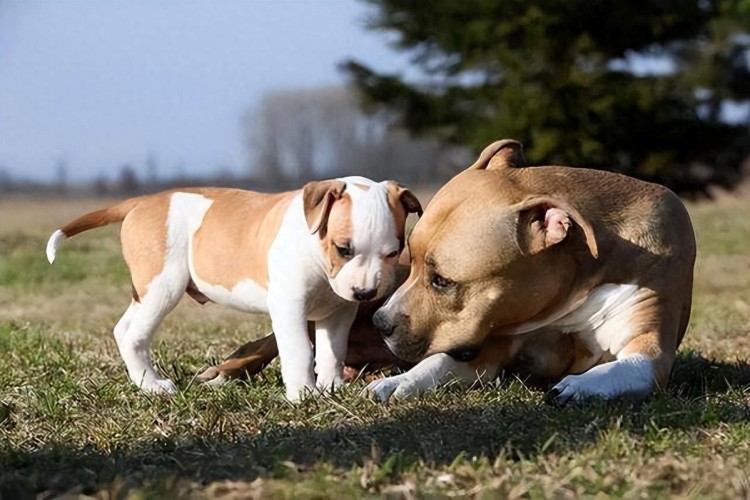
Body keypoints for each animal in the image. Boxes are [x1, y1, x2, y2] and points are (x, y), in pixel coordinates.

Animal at [47, 178, 424, 400]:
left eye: (394, 252)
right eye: (343, 249)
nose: (366, 293)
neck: (314, 248)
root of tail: (142, 201)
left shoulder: (339, 312)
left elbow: (333, 351)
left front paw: (330, 387)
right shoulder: (289, 308)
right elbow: (300, 351)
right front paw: (303, 394)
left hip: (149, 290)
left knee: (124, 327)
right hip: (162, 286)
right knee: (132, 334)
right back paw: (152, 385)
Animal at [368, 140, 696, 402]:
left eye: (442, 281)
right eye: (411, 261)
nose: (379, 322)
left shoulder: (651, 353)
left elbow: (621, 367)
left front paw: (577, 386)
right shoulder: (492, 346)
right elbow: (437, 363)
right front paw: (398, 381)